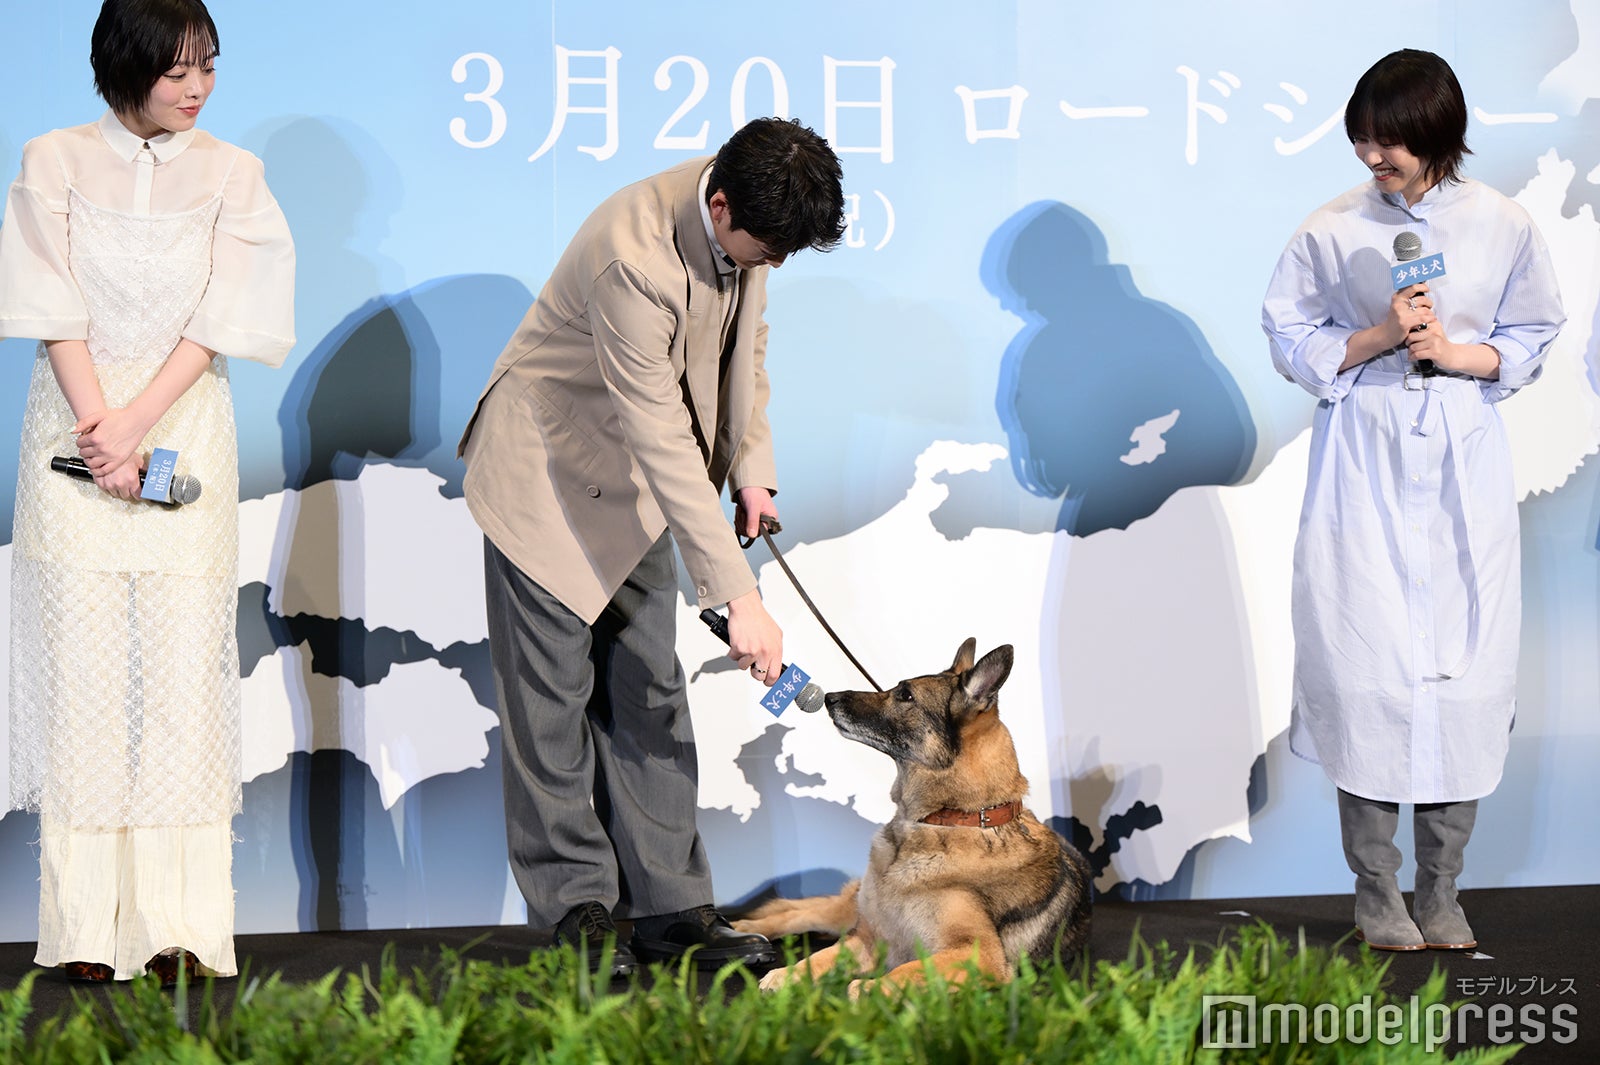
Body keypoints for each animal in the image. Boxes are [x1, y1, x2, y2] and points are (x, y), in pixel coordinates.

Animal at [736, 639, 1091, 991]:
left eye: (906, 695)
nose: (829, 697)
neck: (951, 818)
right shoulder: (867, 936)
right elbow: (818, 958)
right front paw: (787, 974)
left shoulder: (977, 955)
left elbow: (899, 974)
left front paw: (863, 990)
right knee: (801, 912)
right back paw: (745, 928)